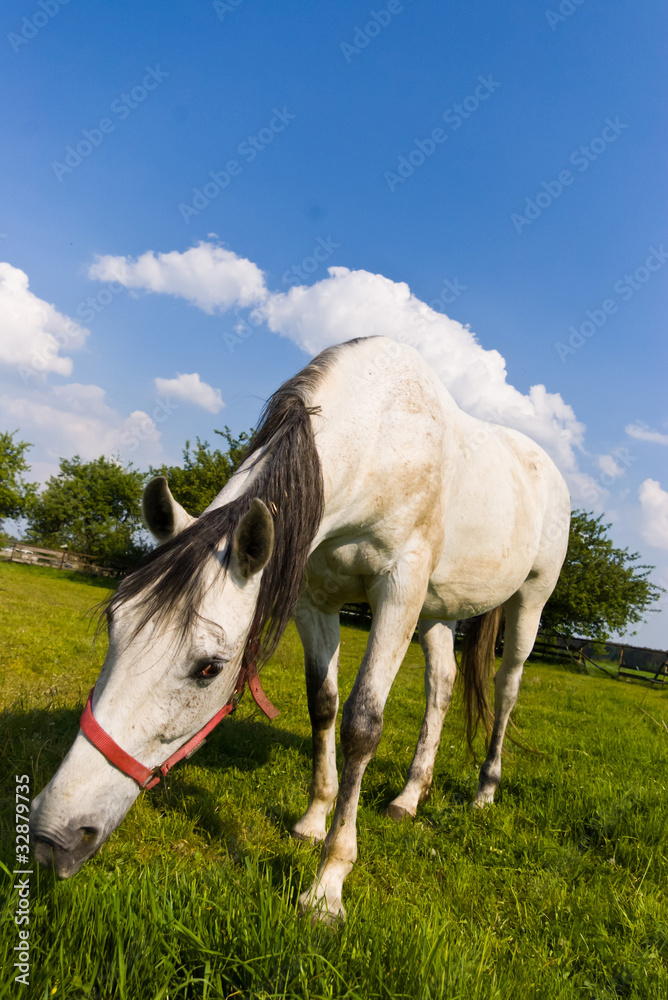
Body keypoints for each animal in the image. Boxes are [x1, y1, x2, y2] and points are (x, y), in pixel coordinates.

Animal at [30, 335, 570, 921]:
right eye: (115, 625)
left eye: (208, 668)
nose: (54, 837)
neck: (381, 438)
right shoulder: (316, 600)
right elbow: (323, 705)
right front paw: (314, 819)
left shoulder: (398, 589)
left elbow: (362, 724)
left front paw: (328, 883)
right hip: (437, 611)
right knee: (442, 686)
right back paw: (408, 798)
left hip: (526, 603)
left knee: (507, 687)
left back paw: (485, 791)